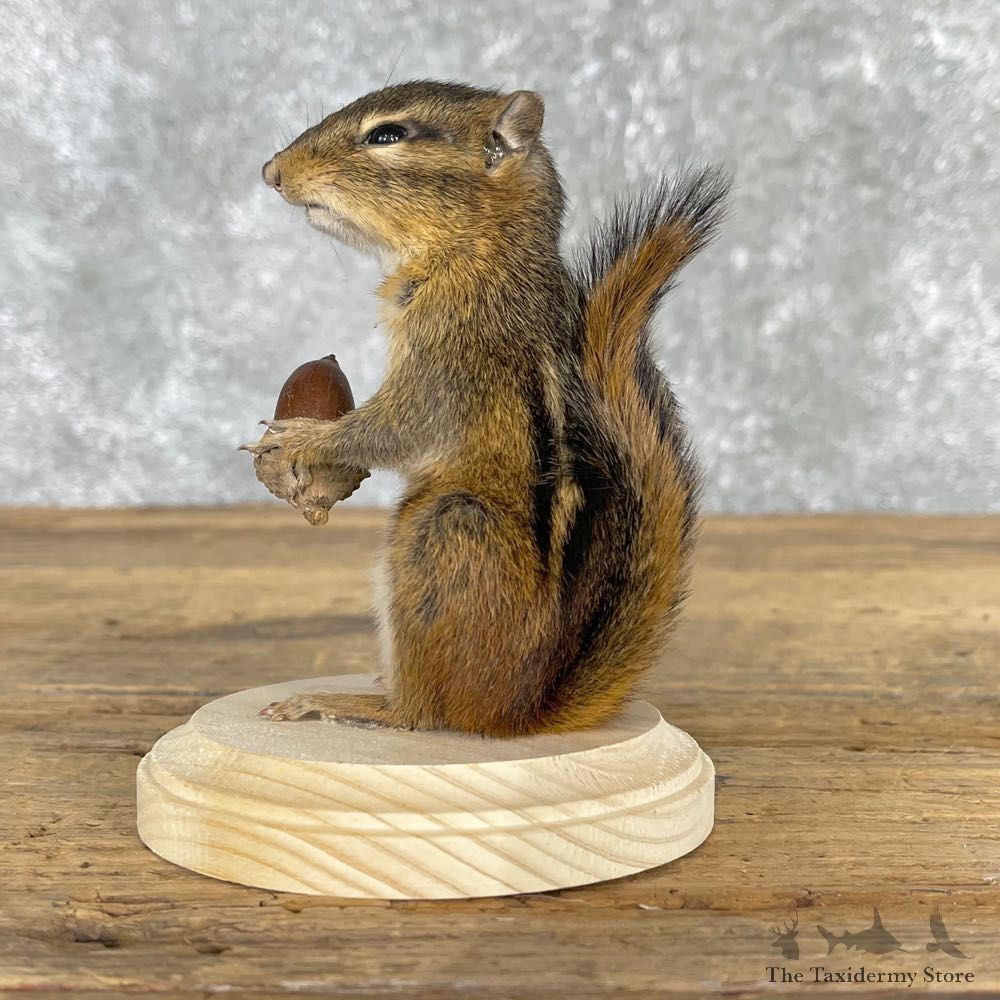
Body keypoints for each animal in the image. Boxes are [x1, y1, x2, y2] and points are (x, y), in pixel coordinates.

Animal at [249, 80, 729, 736]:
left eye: (388, 135)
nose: (271, 172)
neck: (485, 248)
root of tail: (518, 711)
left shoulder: (451, 356)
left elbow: (395, 428)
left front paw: (301, 439)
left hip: (443, 527)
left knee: (422, 714)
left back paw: (344, 702)